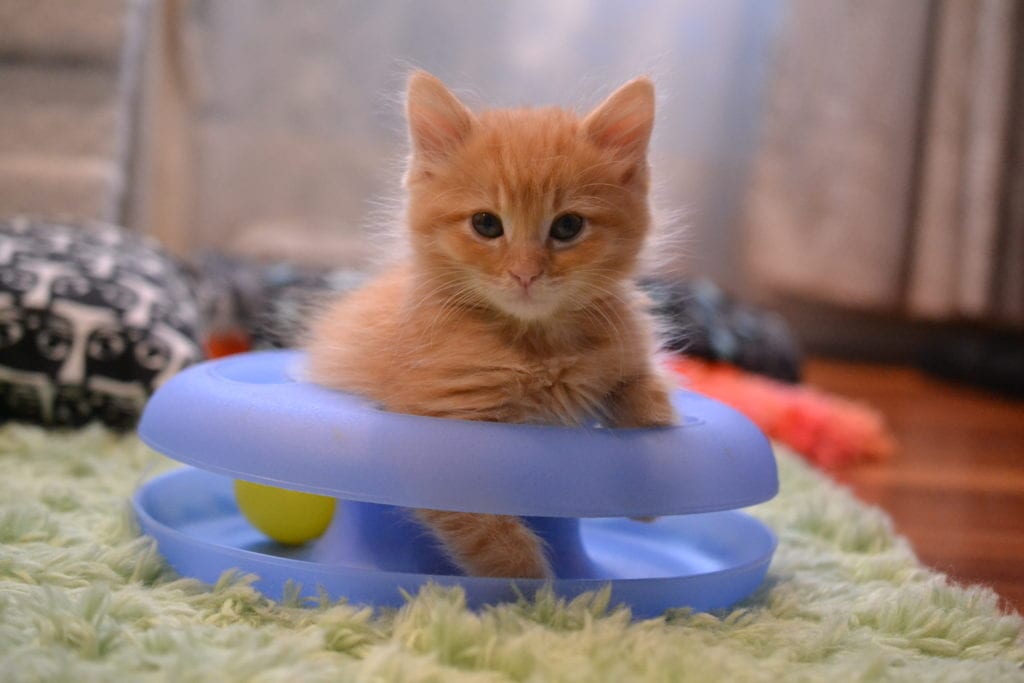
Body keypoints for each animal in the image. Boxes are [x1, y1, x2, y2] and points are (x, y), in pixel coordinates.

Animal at [303, 72, 675, 581]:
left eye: (568, 227)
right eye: (486, 224)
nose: (525, 274)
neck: (535, 343)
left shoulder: (627, 351)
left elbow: (647, 396)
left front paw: (649, 501)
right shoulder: (436, 429)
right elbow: (488, 531)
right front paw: (534, 589)